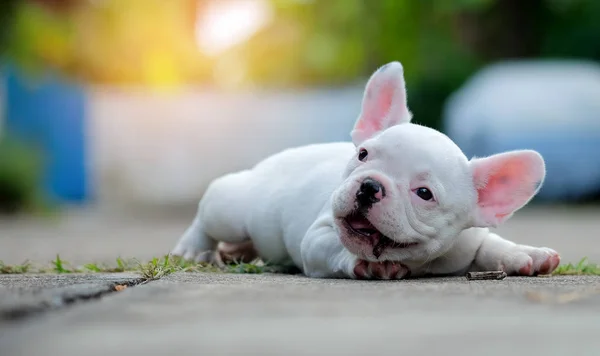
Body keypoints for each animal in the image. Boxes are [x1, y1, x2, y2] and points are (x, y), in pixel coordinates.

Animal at [171, 61, 560, 280]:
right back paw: (193, 249)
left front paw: (525, 254)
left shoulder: (470, 240)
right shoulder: (317, 239)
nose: (370, 185)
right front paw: (368, 266)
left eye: (424, 194)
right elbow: (337, 249)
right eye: (363, 154)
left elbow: (492, 246)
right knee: (208, 217)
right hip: (233, 209)